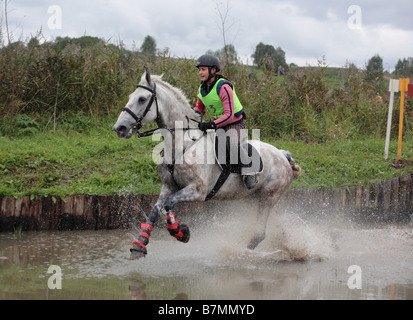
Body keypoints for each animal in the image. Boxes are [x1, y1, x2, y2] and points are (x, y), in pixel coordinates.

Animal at [112, 70, 300, 260]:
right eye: (131, 97)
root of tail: (283, 155)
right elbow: (155, 211)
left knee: (260, 233)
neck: (182, 143)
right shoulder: (168, 186)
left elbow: (169, 204)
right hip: (254, 198)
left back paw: (241, 252)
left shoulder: (198, 191)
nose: (119, 128)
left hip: (268, 197)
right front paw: (139, 245)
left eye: (142, 99)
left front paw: (181, 233)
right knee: (275, 224)